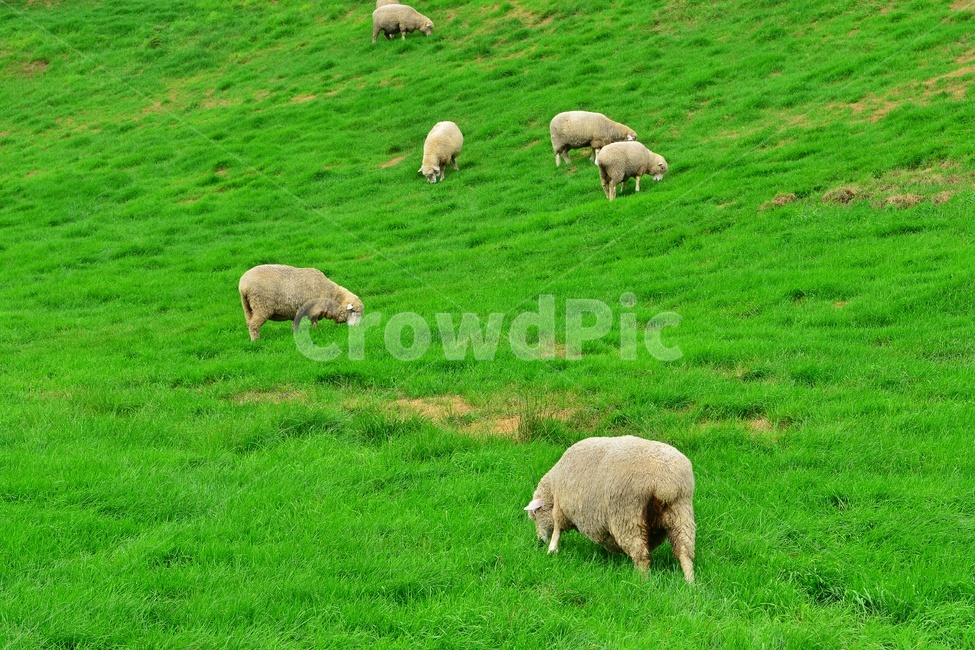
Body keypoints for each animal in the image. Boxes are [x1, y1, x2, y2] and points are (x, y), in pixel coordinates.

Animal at [524, 435, 695, 583]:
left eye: (535, 515)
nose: (540, 541)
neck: (553, 487)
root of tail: (664, 483)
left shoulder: (561, 508)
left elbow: (557, 530)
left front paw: (552, 550)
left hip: (627, 516)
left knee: (641, 556)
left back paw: (641, 582)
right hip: (681, 511)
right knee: (684, 551)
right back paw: (690, 583)